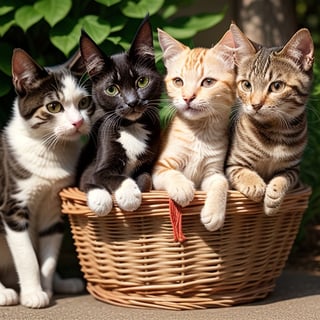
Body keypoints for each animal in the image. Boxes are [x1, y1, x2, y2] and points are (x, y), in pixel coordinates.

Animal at [0, 48, 94, 308]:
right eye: (53, 106)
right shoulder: (12, 206)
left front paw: (47, 288)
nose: (78, 122)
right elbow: (27, 256)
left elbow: (49, 258)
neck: (50, 151)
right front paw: (33, 294)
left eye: (84, 102)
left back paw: (64, 283)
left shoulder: (53, 210)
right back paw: (4, 293)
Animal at [77, 15, 162, 215]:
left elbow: (146, 178)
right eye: (111, 89)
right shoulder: (95, 165)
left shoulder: (149, 163)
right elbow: (95, 179)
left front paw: (135, 191)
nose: (132, 102)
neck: (132, 127)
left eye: (142, 81)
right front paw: (118, 196)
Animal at [152, 28, 238, 231]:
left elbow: (221, 182)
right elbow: (171, 173)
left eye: (208, 82)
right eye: (178, 81)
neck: (199, 133)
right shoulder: (159, 170)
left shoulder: (213, 172)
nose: (187, 97)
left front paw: (214, 214)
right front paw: (182, 187)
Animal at [226, 24, 314, 215]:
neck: (275, 132)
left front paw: (273, 195)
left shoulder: (294, 168)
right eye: (246, 85)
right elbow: (240, 171)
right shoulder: (231, 164)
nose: (255, 105)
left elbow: (285, 178)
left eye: (277, 86)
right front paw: (255, 184)